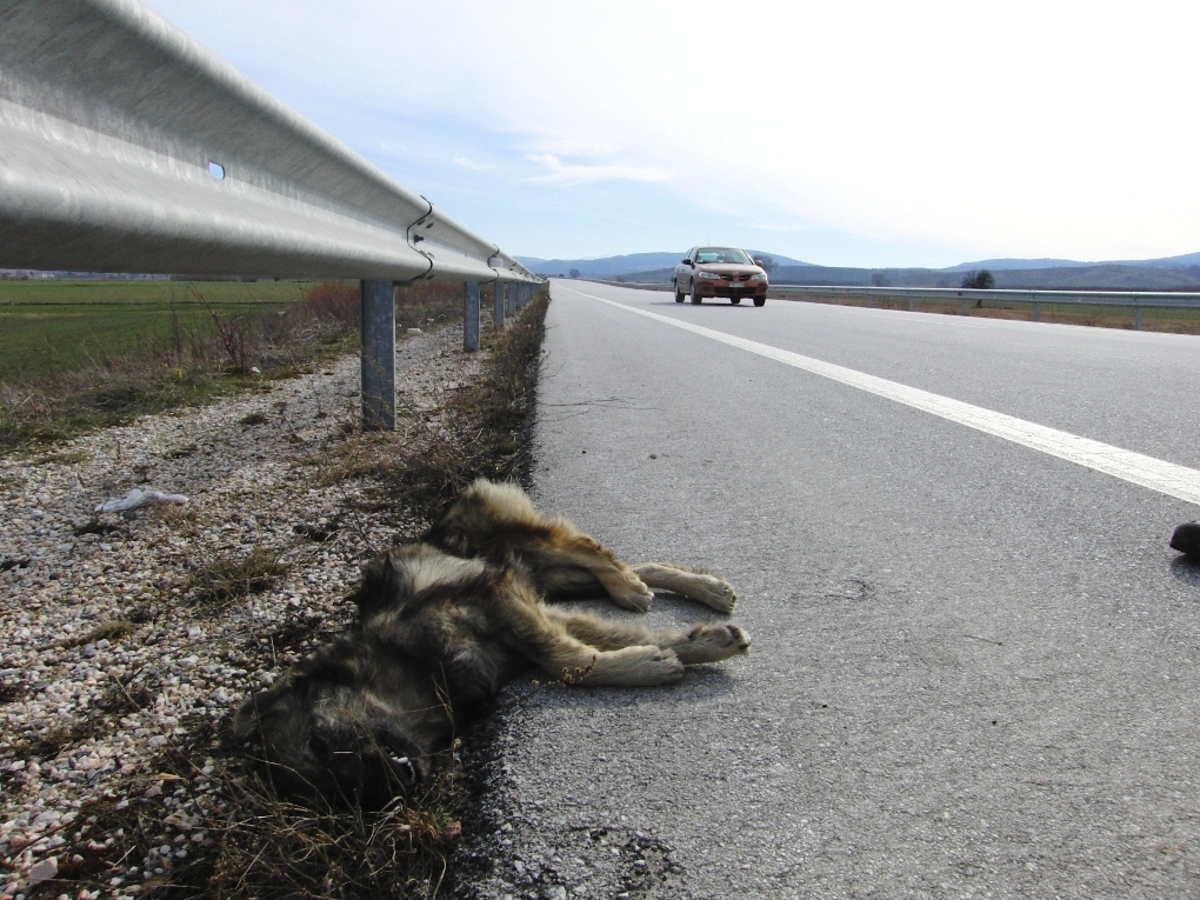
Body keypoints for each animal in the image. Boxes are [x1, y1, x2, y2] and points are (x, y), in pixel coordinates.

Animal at [234, 482, 748, 806]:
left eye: (319, 742)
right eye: (333, 796)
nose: (398, 785)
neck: (412, 667)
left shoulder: (497, 598)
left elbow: (567, 661)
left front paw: (649, 664)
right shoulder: (525, 612)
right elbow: (607, 642)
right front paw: (692, 645)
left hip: (520, 547)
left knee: (593, 551)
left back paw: (631, 588)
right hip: (546, 577)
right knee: (632, 566)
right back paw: (702, 590)